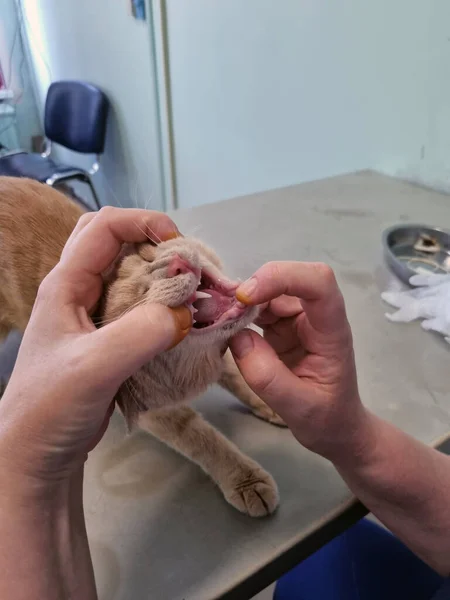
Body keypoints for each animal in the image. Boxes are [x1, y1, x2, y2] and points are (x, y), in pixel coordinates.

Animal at [0, 177, 284, 516]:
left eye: (149, 255)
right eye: (139, 297)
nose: (176, 265)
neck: (196, 367)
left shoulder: (219, 358)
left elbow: (238, 378)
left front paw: (270, 399)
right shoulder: (154, 410)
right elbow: (199, 437)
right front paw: (244, 479)